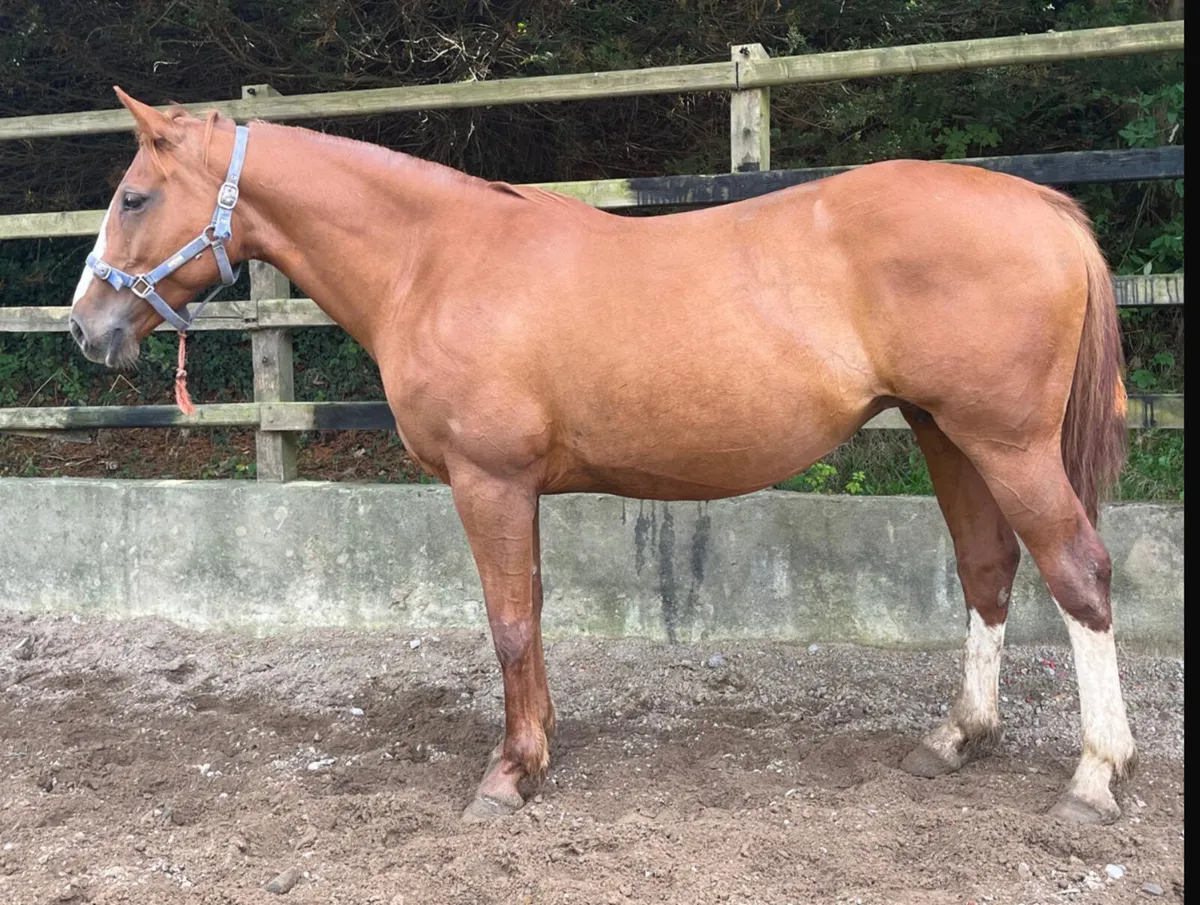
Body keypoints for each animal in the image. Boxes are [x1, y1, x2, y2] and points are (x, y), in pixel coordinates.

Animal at [69, 88, 1135, 825]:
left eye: (134, 196)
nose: (86, 326)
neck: (435, 258)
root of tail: (1040, 204)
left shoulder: (489, 482)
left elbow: (507, 621)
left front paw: (508, 774)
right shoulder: (516, 490)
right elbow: (532, 614)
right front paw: (539, 749)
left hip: (1006, 442)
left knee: (1079, 573)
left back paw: (1094, 775)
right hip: (943, 432)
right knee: (988, 569)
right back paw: (957, 737)